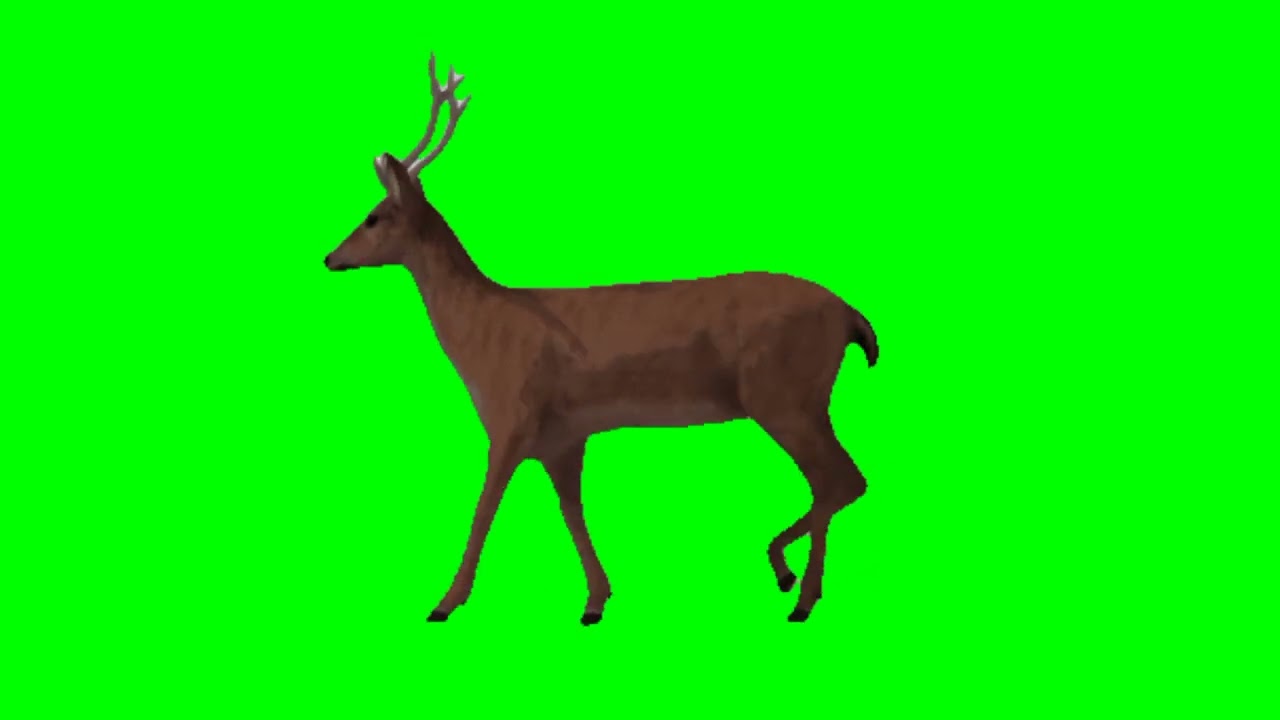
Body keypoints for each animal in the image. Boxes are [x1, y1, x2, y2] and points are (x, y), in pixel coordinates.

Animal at [323, 53, 880, 625]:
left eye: (373, 217)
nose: (330, 257)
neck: (481, 334)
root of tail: (850, 316)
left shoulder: (511, 418)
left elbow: (484, 508)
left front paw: (444, 603)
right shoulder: (563, 437)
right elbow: (572, 510)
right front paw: (596, 599)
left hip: (785, 395)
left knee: (840, 479)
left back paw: (798, 590)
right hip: (798, 398)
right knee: (842, 481)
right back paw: (789, 576)